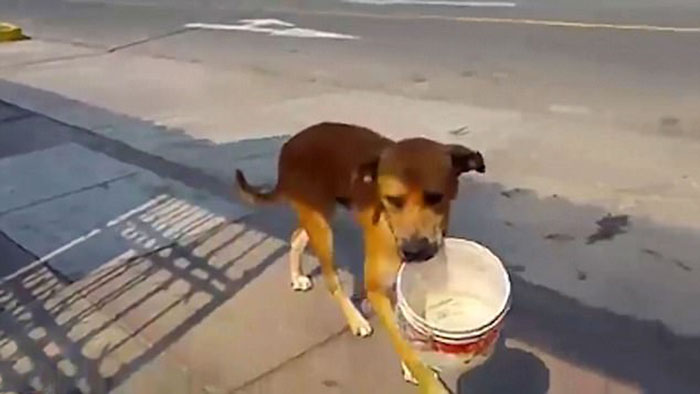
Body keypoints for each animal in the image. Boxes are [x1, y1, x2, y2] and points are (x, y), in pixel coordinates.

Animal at [238, 121, 484, 392]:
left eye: (436, 198)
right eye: (392, 200)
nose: (414, 252)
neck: (390, 226)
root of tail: (290, 145)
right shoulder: (377, 290)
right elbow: (402, 343)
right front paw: (425, 379)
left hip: (320, 213)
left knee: (296, 238)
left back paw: (297, 276)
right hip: (321, 226)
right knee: (331, 278)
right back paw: (355, 320)